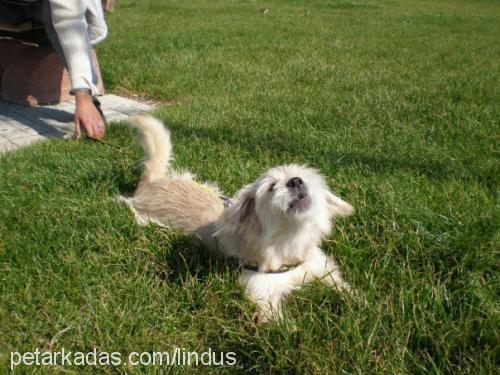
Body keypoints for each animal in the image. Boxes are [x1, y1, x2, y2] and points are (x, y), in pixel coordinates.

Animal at [120, 116, 356, 322]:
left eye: (305, 178)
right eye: (271, 187)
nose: (296, 181)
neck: (290, 242)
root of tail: (152, 182)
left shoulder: (322, 268)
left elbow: (343, 287)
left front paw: (358, 302)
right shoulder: (262, 294)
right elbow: (280, 327)